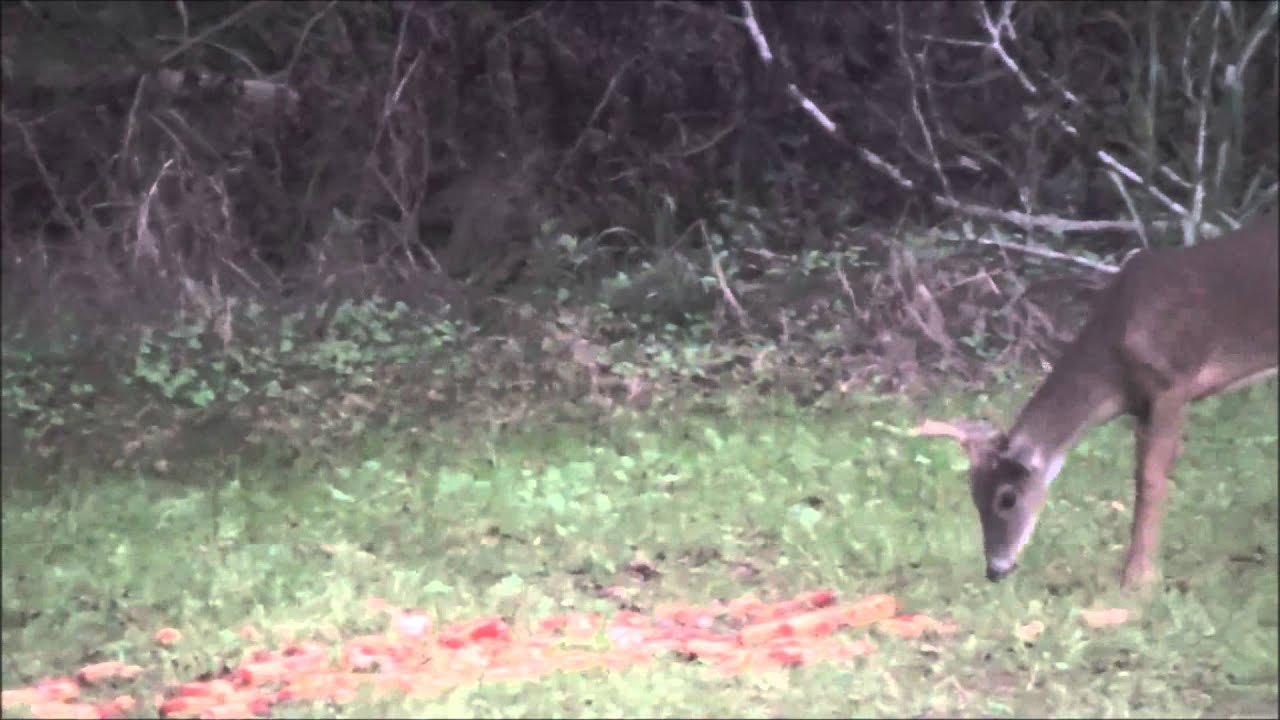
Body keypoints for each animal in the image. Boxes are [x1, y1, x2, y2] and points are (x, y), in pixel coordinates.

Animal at [914, 210, 1278, 589]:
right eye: (974, 496)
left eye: (1007, 498)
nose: (995, 569)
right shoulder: (1142, 404)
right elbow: (1139, 478)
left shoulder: (1171, 383)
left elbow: (1151, 481)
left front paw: (1137, 580)